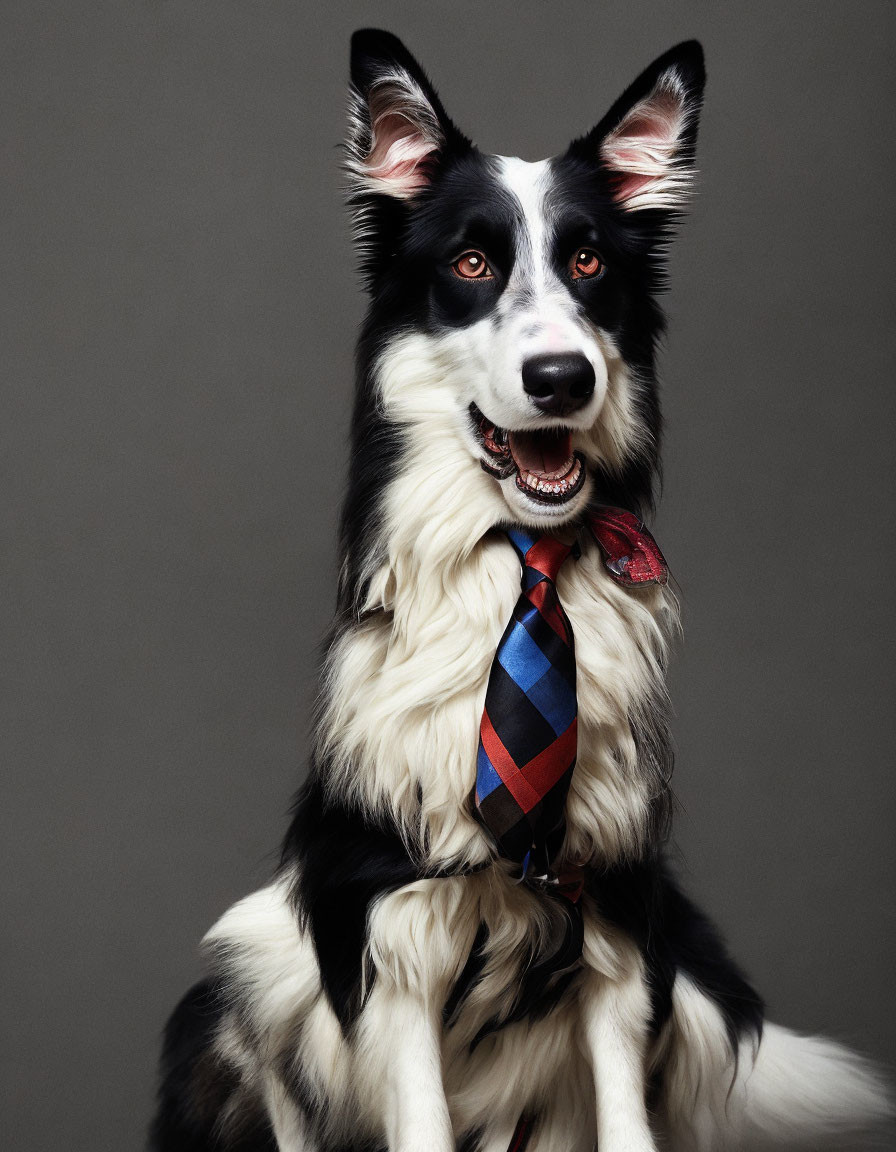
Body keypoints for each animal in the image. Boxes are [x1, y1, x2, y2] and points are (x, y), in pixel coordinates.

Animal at [149, 27, 889, 1152]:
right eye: (470, 264)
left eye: (587, 261)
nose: (561, 377)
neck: (522, 575)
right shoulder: (388, 918)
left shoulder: (618, 916)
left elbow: (624, 1113)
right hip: (246, 966)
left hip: (694, 991)